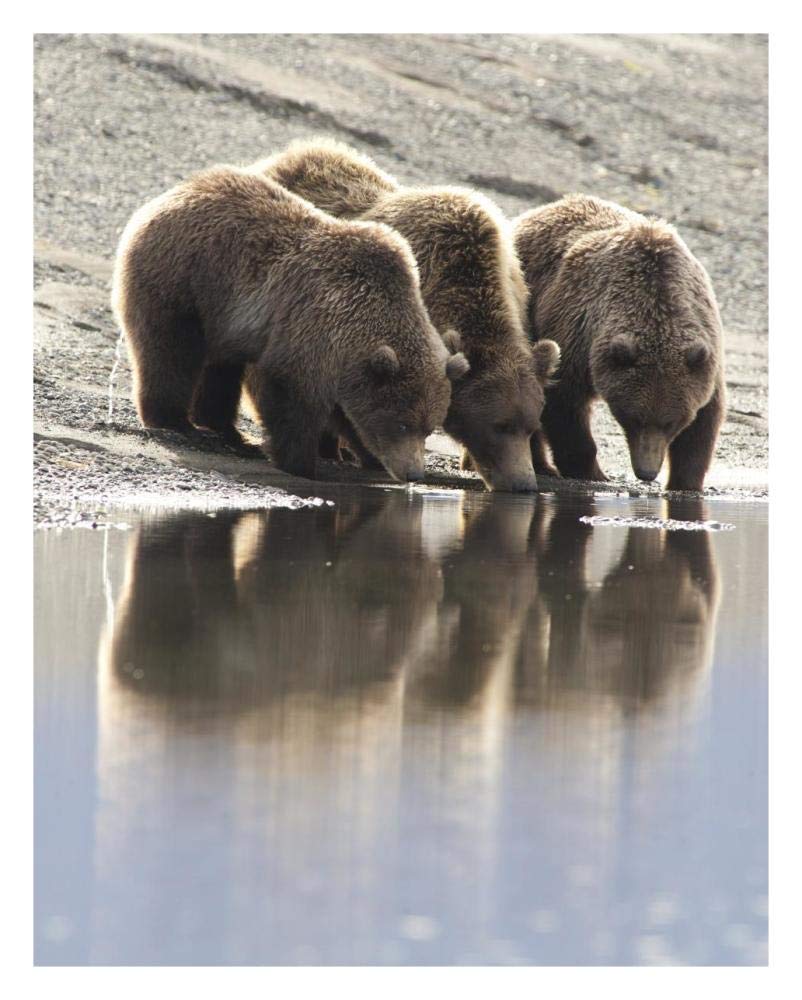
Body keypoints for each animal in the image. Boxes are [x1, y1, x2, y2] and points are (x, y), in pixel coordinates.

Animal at [111, 164, 469, 482]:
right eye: (403, 423)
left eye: (429, 427)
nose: (414, 473)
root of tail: (175, 192)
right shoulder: (313, 332)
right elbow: (292, 397)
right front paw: (301, 462)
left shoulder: (346, 364)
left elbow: (349, 413)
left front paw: (368, 456)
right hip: (186, 279)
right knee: (170, 351)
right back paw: (173, 420)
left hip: (223, 316)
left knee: (221, 368)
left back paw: (225, 429)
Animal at [513, 194, 725, 491]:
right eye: (633, 418)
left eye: (672, 422)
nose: (647, 472)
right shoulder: (578, 335)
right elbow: (564, 403)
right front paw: (591, 471)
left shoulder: (704, 352)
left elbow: (705, 421)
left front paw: (685, 482)